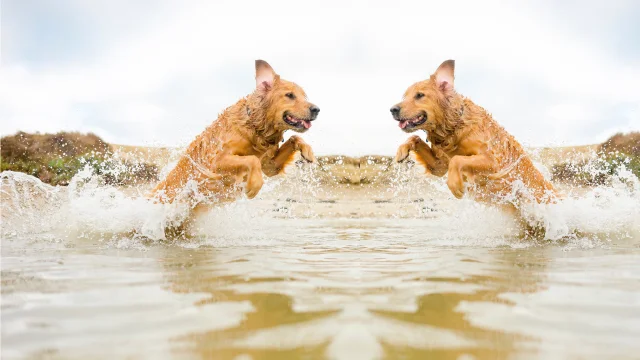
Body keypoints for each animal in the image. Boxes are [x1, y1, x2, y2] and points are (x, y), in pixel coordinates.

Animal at [388, 59, 556, 222]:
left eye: (419, 95)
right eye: (404, 96)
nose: (392, 109)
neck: (453, 127)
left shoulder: (494, 162)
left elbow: (457, 159)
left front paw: (455, 185)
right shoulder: (439, 166)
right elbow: (415, 137)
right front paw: (401, 151)